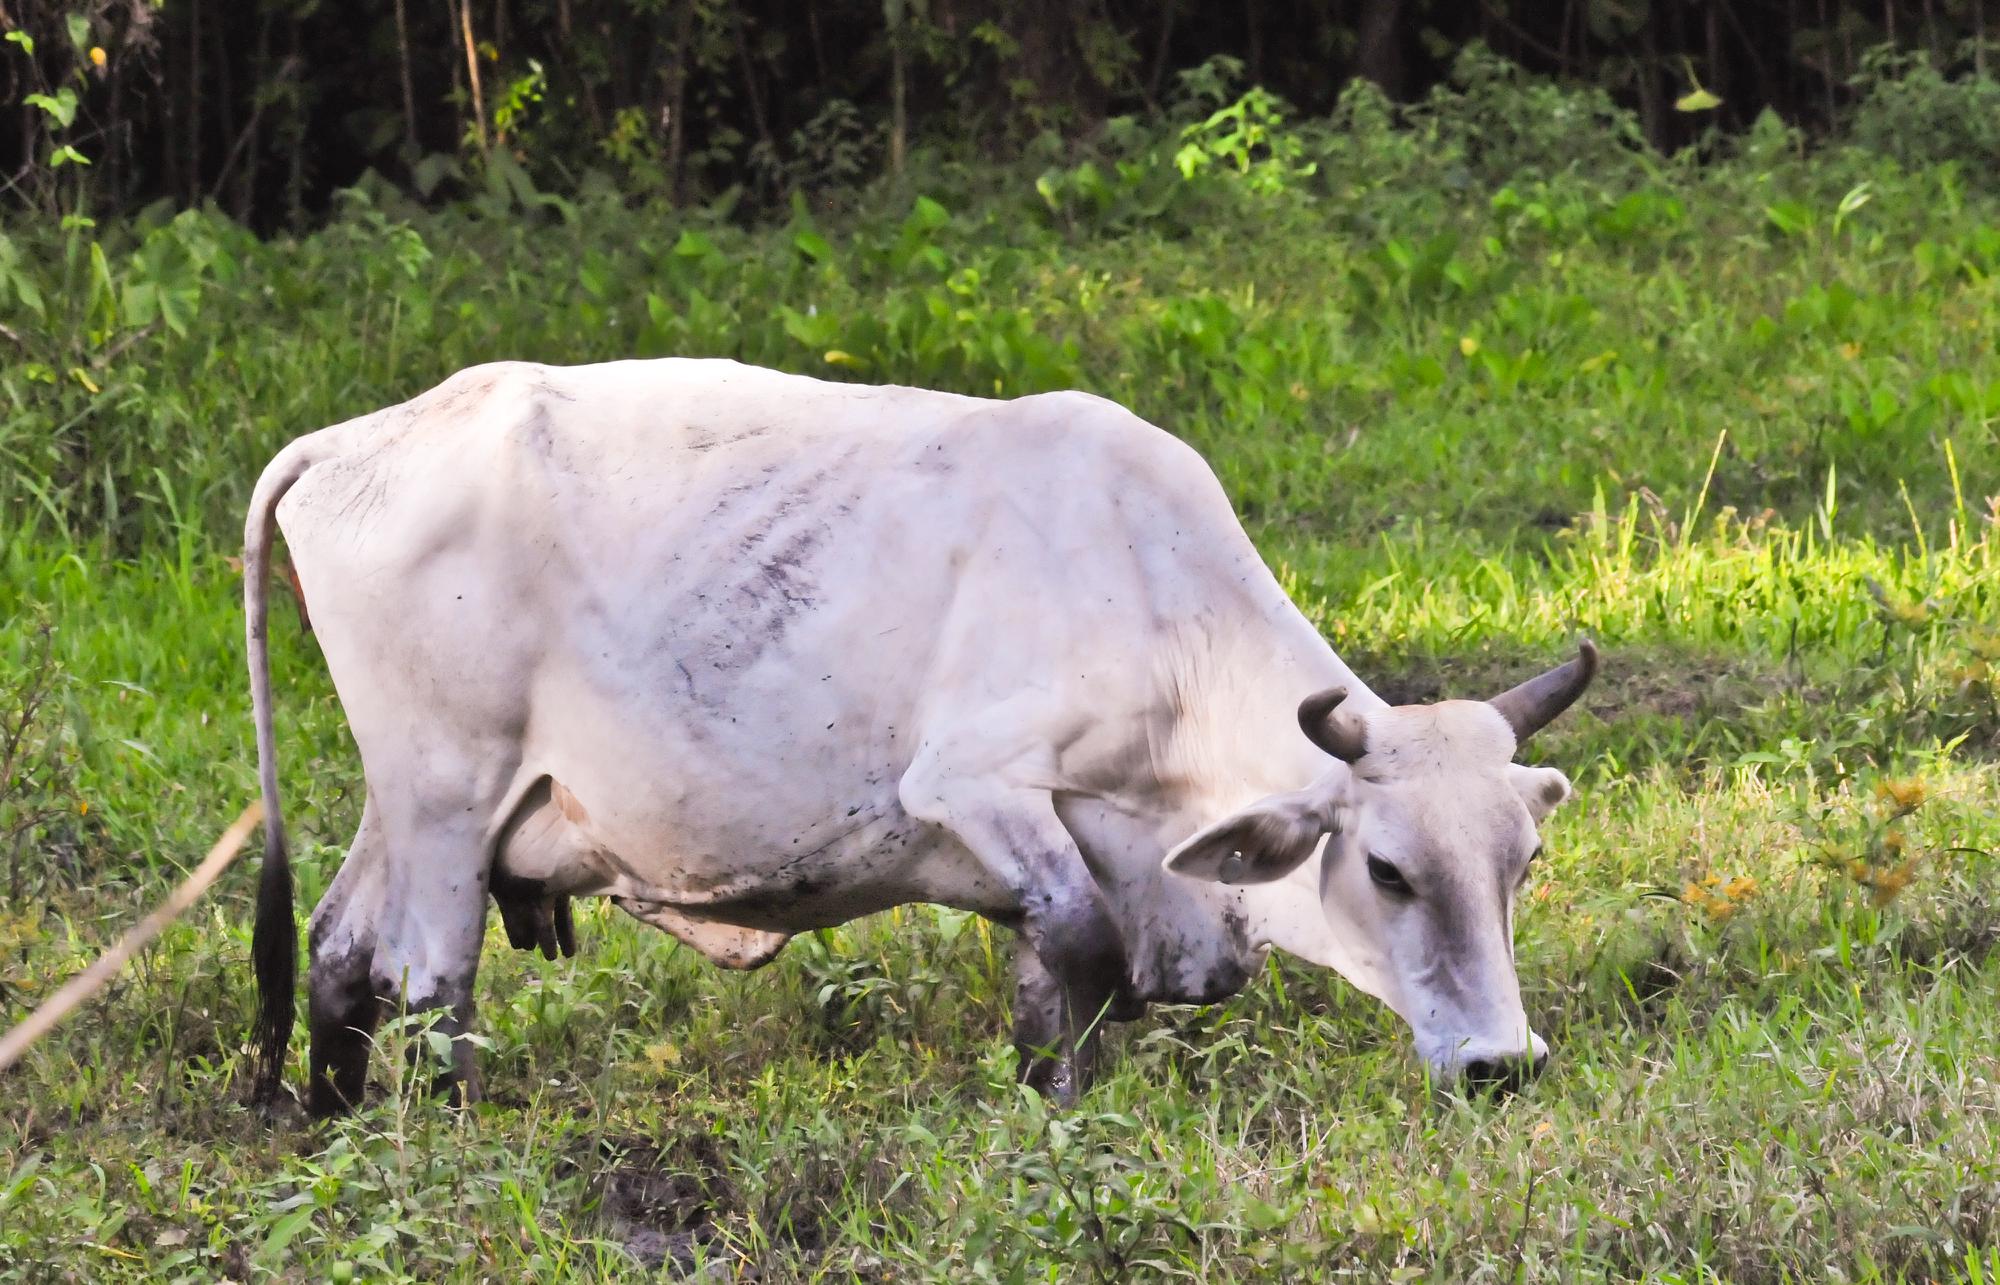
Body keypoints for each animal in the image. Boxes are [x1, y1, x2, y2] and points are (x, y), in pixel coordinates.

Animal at [246, 358, 1592, 1112]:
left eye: (1519, 867)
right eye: (1387, 870)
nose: (1502, 1066)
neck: (1152, 595)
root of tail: (346, 442)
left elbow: (1061, 982)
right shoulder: (974, 785)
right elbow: (1086, 951)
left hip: (409, 802)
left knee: (337, 948)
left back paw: (328, 1120)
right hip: (446, 802)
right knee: (432, 982)